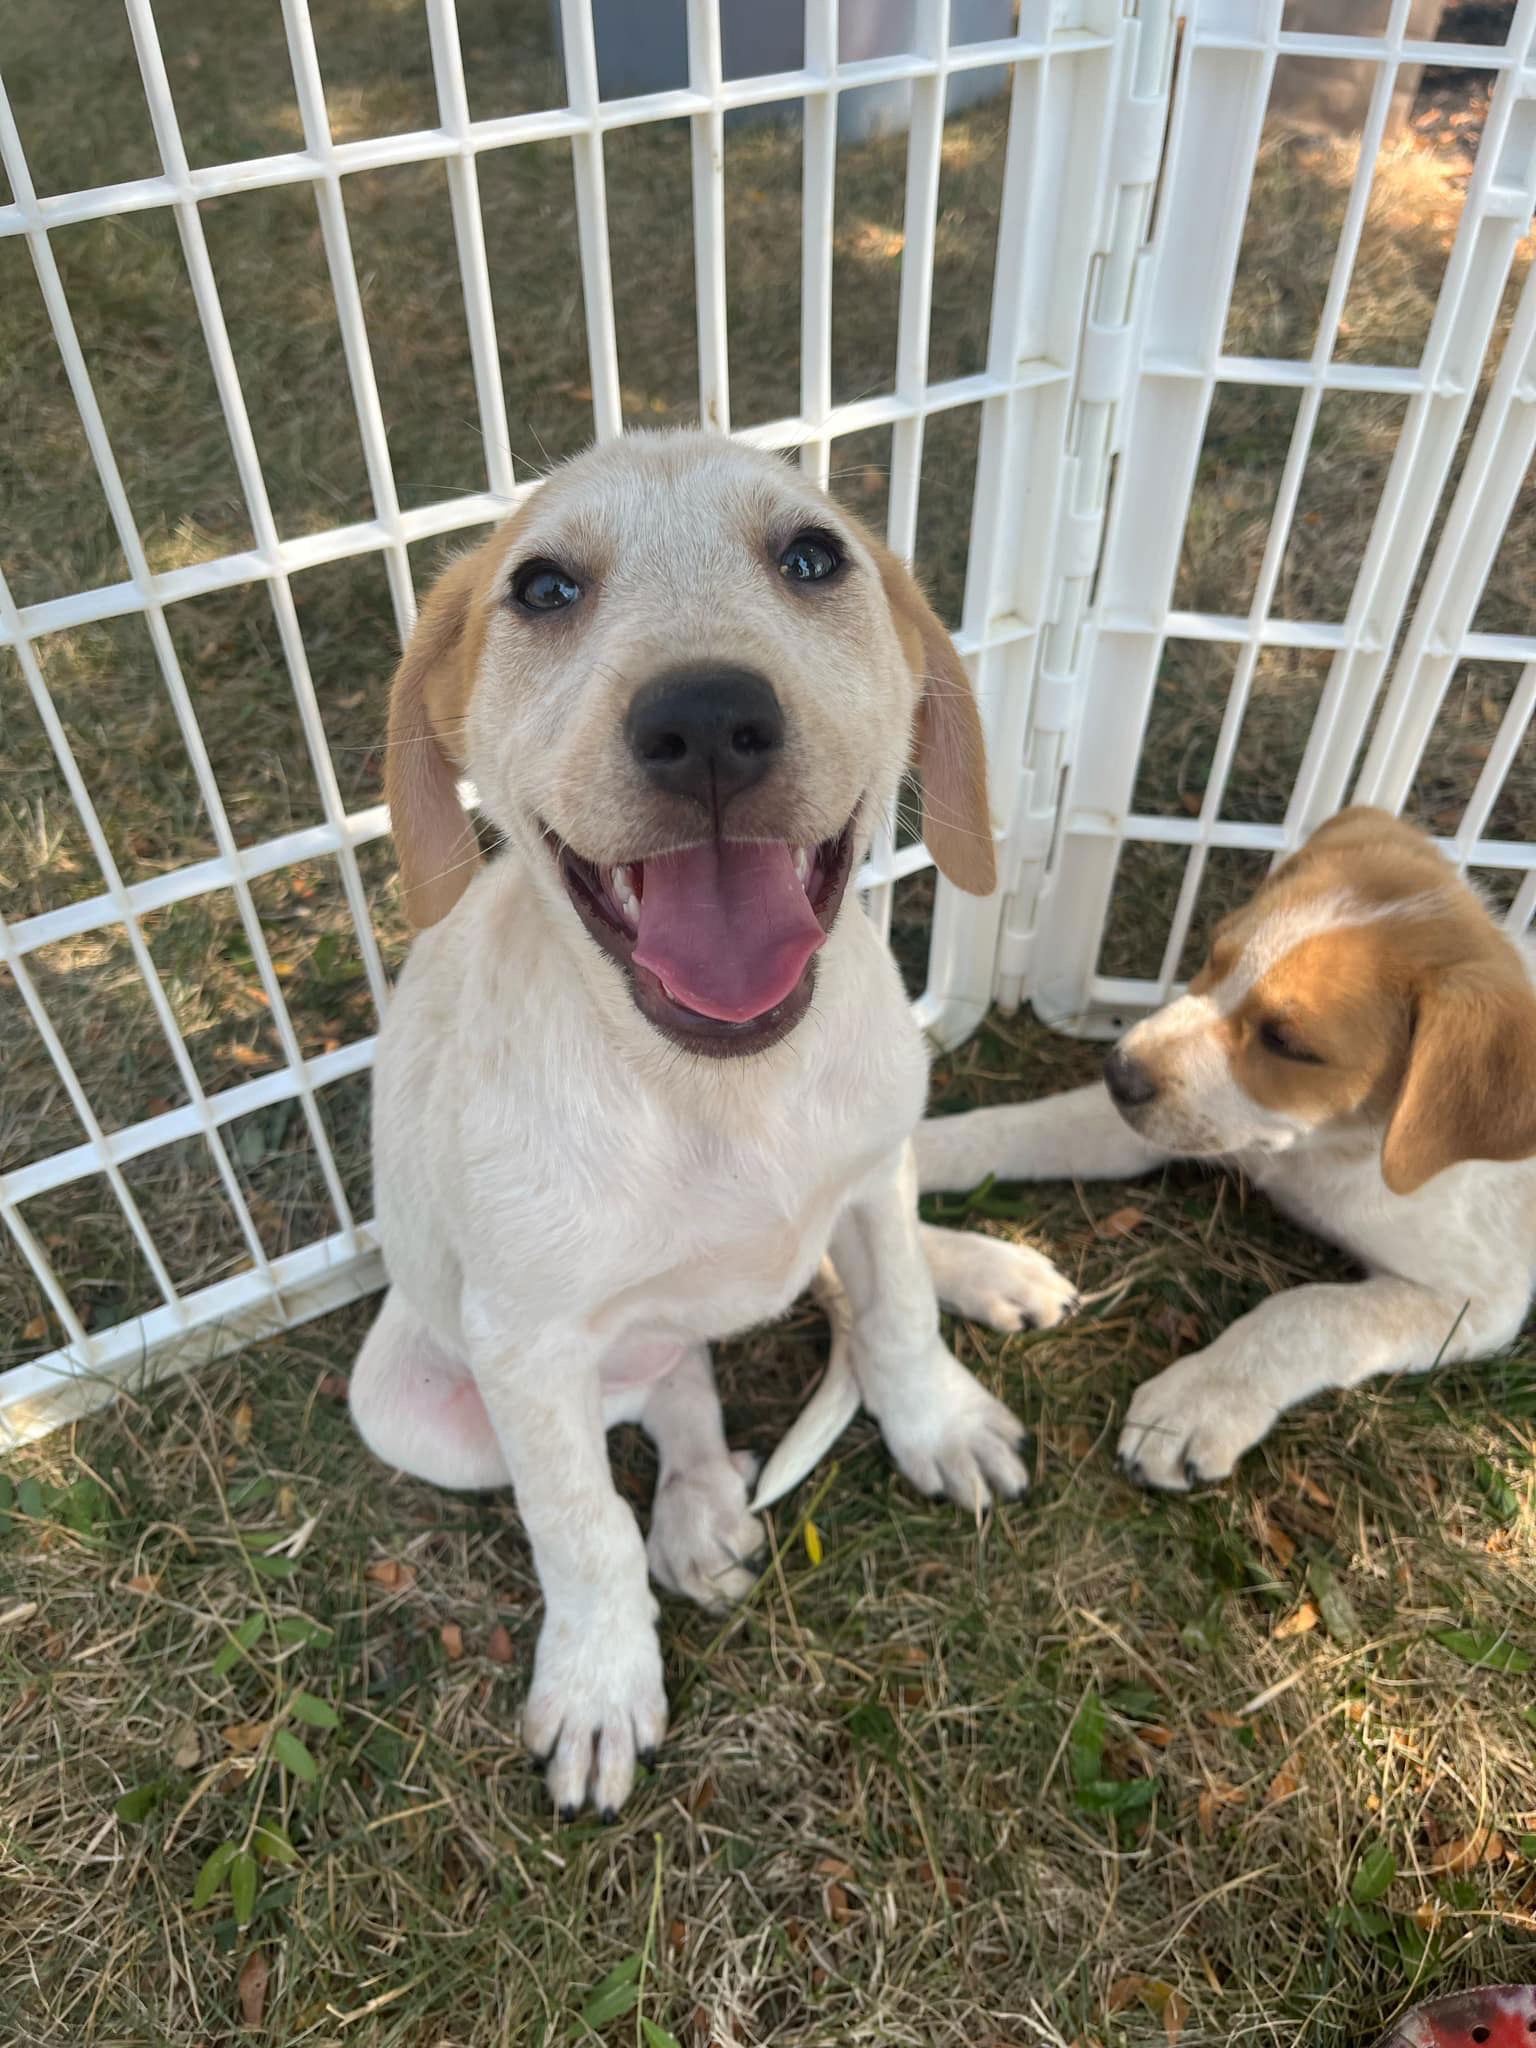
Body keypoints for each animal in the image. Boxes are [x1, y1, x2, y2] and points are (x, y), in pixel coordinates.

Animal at [348, 436, 1073, 1826]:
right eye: (543, 588)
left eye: (814, 558)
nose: (703, 724)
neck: (722, 1091)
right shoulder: (524, 1341)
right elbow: (578, 1524)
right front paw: (598, 1678)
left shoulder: (869, 1169)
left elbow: (897, 1310)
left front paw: (937, 1420)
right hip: (412, 1403)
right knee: (672, 1394)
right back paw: (693, 1516)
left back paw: (985, 1276)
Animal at [913, 806, 1536, 1499]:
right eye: (1214, 954)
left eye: (1288, 1043)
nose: (1117, 1072)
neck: (1320, 1150)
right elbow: (1009, 1129)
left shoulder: (1478, 1300)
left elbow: (1307, 1313)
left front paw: (1195, 1404)